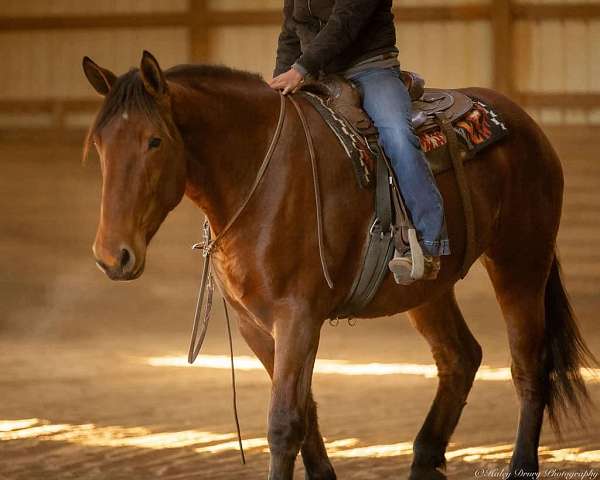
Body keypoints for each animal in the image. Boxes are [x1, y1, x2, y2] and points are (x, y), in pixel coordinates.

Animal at [82, 50, 592, 478]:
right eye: (100, 145)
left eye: (153, 141)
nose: (113, 256)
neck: (259, 174)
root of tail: (523, 121)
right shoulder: (255, 326)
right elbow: (305, 413)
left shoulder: (298, 318)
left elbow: (284, 423)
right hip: (427, 290)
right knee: (460, 357)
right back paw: (424, 456)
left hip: (520, 261)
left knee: (528, 366)